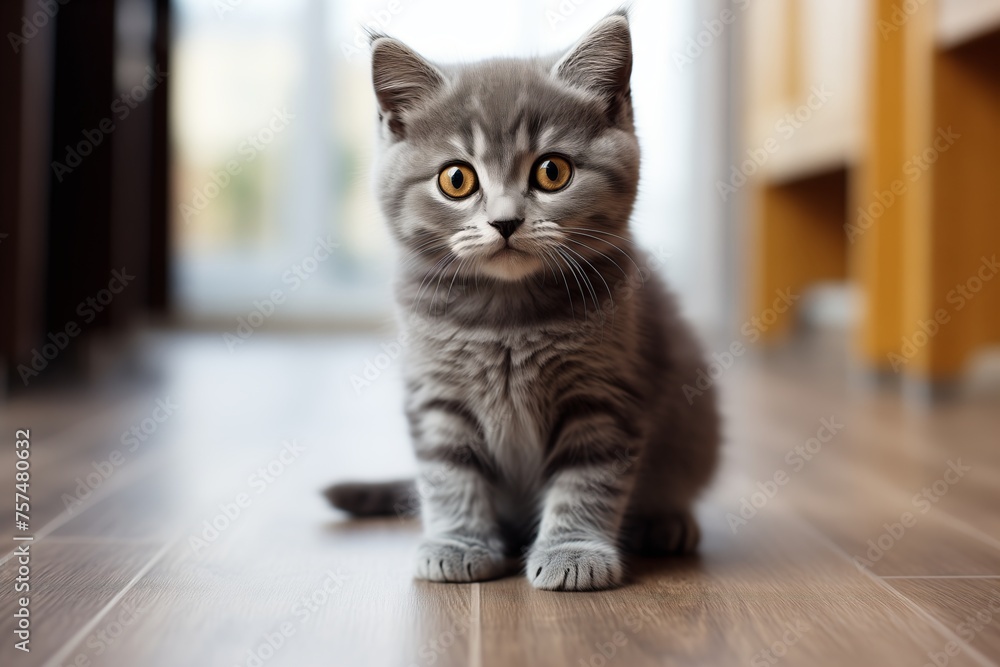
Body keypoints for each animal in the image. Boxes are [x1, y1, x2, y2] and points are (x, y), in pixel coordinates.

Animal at [328, 10, 720, 592]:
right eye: (456, 179)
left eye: (552, 171)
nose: (505, 221)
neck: (506, 317)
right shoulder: (437, 394)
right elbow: (448, 473)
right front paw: (457, 543)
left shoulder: (604, 394)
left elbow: (588, 479)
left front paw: (573, 552)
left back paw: (664, 521)